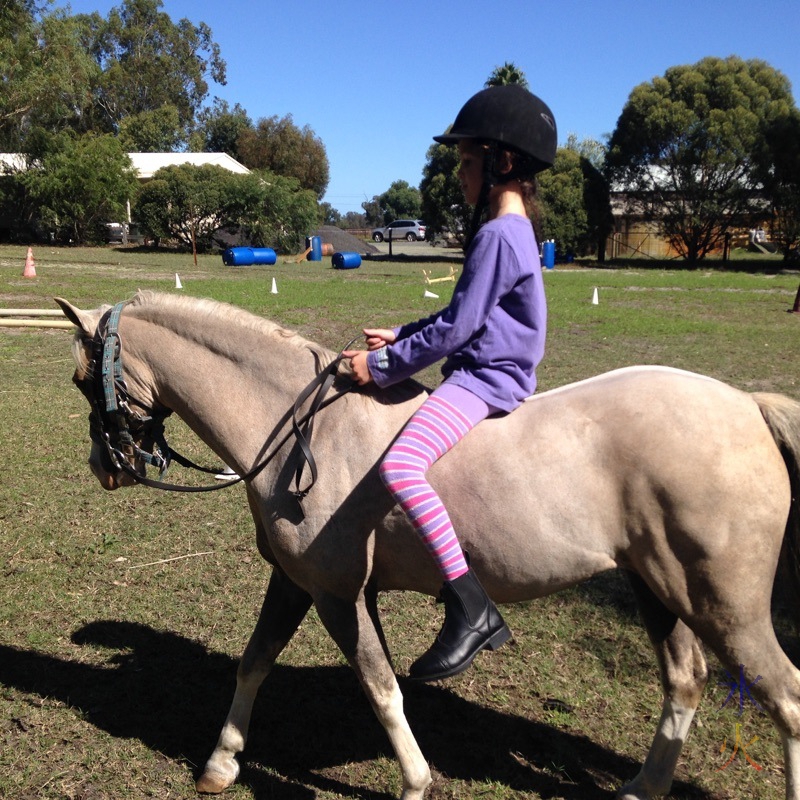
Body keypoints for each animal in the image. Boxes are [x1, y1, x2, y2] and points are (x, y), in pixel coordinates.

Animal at [56, 290, 800, 800]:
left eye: (81, 380)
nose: (103, 466)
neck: (297, 427)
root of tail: (744, 403)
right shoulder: (295, 583)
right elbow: (254, 663)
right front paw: (219, 763)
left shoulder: (339, 594)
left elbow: (380, 687)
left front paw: (415, 781)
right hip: (659, 590)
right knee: (686, 682)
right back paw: (644, 787)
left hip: (725, 604)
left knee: (786, 696)